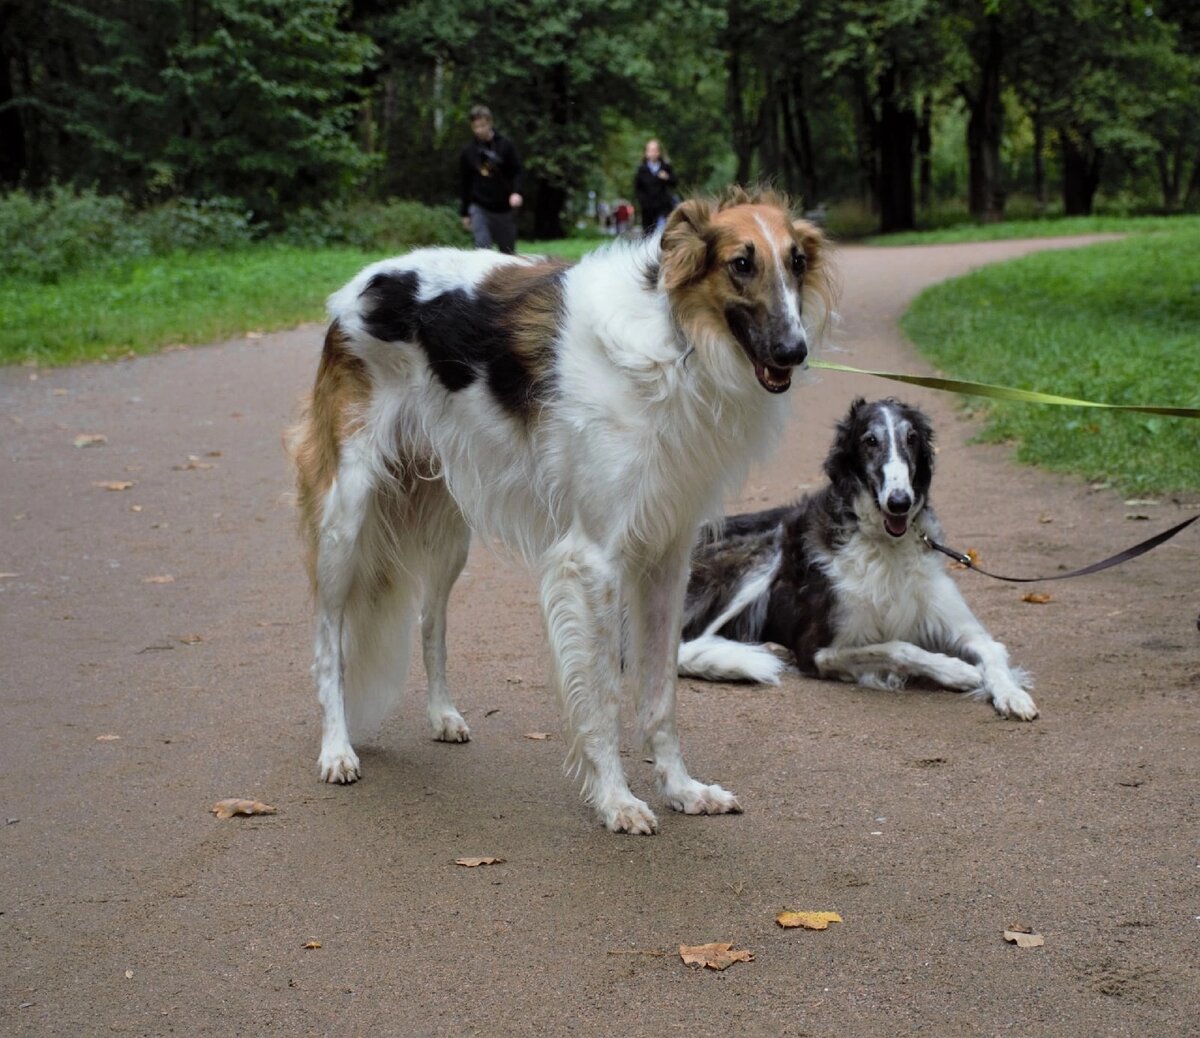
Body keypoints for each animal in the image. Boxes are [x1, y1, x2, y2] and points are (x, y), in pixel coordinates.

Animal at [290, 188, 835, 835]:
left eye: (797, 262)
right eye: (741, 264)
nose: (793, 352)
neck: (672, 346)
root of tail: (358, 287)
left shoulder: (667, 556)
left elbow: (660, 695)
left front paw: (681, 789)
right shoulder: (594, 560)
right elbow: (603, 697)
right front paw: (617, 800)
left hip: (449, 532)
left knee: (431, 621)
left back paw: (443, 714)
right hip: (345, 519)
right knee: (327, 641)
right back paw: (336, 748)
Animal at [681, 396, 1036, 720]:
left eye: (911, 438)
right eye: (870, 441)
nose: (900, 502)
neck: (887, 546)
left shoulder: (965, 628)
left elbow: (993, 653)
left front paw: (1012, 694)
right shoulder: (817, 651)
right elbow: (897, 646)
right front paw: (957, 670)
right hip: (760, 557)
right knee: (684, 647)